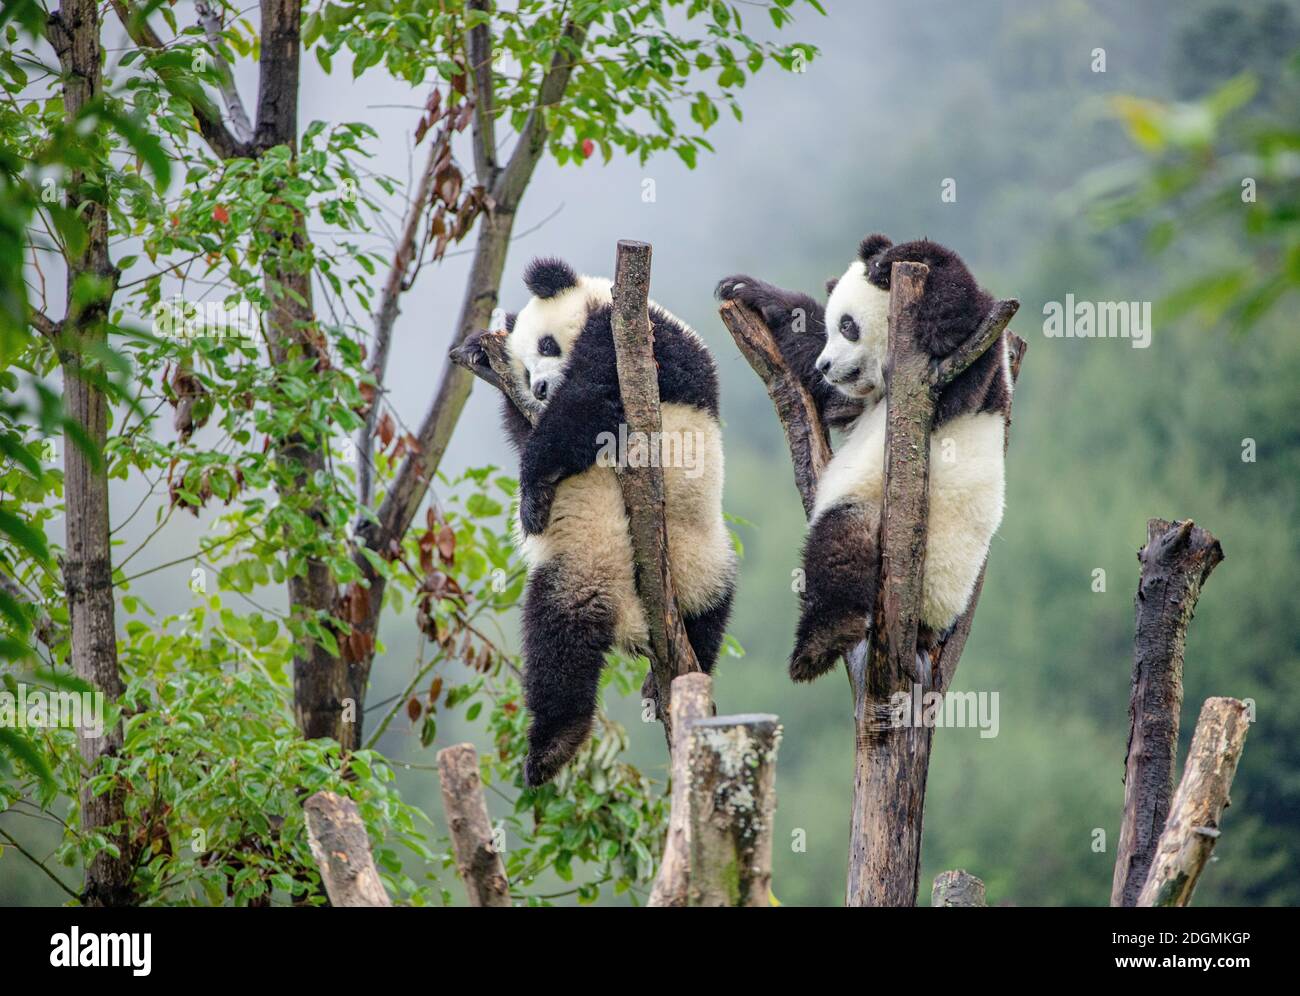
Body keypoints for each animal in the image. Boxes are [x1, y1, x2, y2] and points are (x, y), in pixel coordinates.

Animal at [479, 257, 736, 786]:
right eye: (525, 370)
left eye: (547, 345)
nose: (539, 386)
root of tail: (634, 620)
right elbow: (530, 425)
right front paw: (479, 353)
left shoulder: (634, 341)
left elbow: (590, 405)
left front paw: (531, 494)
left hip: (651, 556)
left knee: (564, 637)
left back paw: (559, 741)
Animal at [716, 235, 1010, 682]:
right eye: (832, 328)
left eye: (848, 326)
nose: (826, 364)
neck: (886, 384)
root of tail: (926, 630)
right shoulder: (856, 397)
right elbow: (827, 389)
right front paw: (750, 291)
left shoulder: (969, 370)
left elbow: (956, 319)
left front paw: (894, 258)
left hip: (921, 551)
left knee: (839, 548)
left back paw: (820, 642)